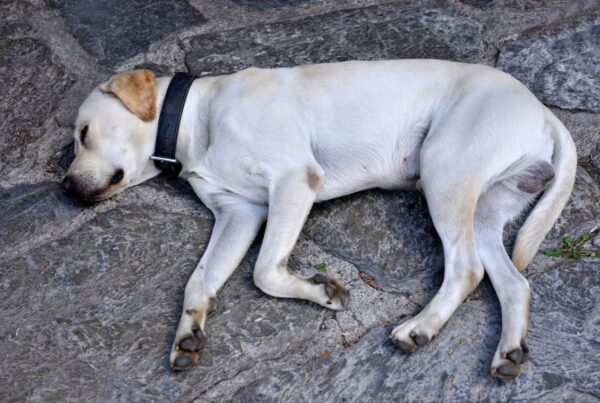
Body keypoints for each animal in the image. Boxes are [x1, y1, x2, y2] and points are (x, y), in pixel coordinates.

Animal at [59, 60, 576, 378]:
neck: (195, 121)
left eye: (83, 133)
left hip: (444, 172)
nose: (62, 186)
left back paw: (420, 328)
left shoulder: (292, 180)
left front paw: (321, 291)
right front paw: (187, 334)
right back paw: (508, 352)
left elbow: (265, 271)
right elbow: (199, 281)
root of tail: (543, 110)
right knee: (513, 283)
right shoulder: (239, 213)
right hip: (485, 210)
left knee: (466, 269)